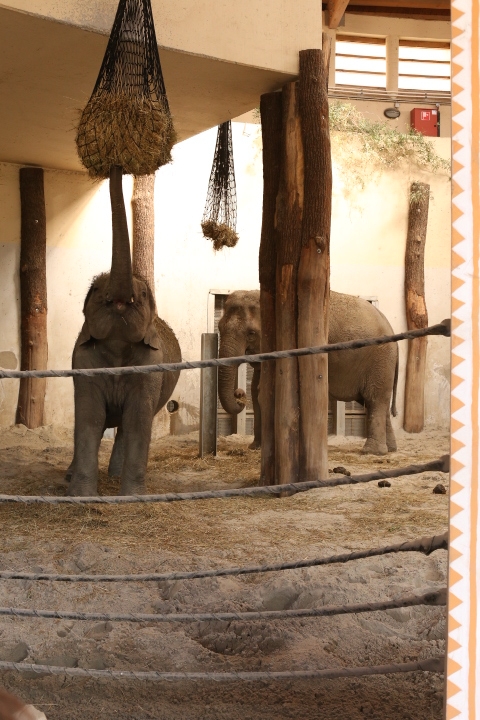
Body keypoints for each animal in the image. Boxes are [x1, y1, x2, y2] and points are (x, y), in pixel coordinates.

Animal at [67, 165, 181, 496]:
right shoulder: (84, 362)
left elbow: (138, 422)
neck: (117, 349)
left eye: (141, 296)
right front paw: (81, 496)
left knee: (126, 427)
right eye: (96, 291)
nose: (117, 167)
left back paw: (115, 476)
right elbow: (89, 418)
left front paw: (131, 496)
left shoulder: (151, 367)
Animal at [217, 289, 398, 456]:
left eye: (251, 334)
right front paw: (256, 447)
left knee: (375, 399)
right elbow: (257, 390)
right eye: (219, 328)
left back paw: (371, 452)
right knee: (379, 402)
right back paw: (390, 450)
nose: (239, 394)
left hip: (380, 360)